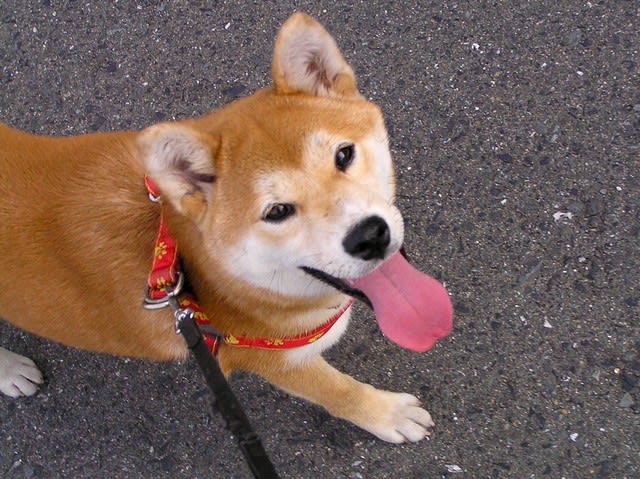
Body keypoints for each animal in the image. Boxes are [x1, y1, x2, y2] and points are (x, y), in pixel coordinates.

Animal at [0, 13, 452, 444]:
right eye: (277, 211)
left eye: (344, 155)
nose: (369, 236)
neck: (191, 268)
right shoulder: (270, 360)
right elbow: (338, 392)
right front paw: (387, 414)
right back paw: (11, 372)